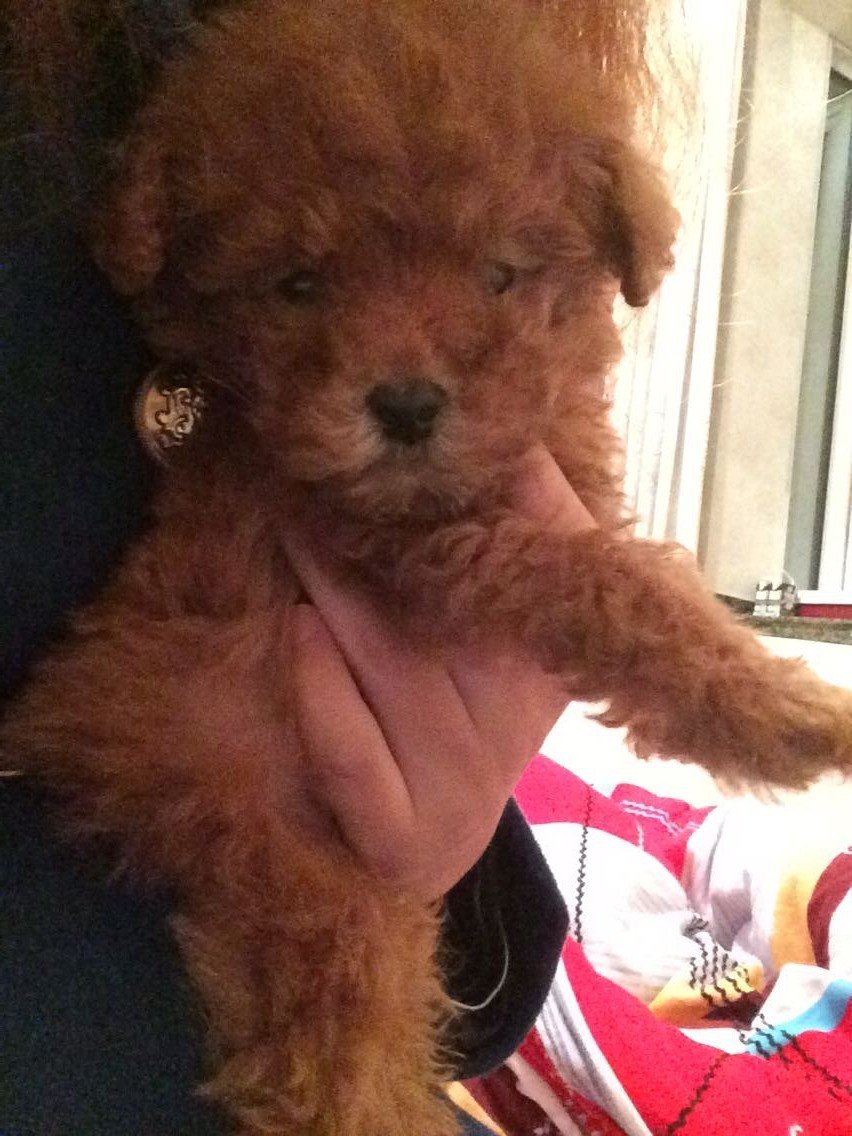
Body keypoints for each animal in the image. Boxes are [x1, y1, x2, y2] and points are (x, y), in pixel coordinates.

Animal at [5, 0, 852, 1132]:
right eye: (299, 284)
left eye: (500, 274)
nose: (405, 406)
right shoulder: (425, 551)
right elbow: (607, 584)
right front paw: (787, 711)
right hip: (316, 882)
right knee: (333, 1060)